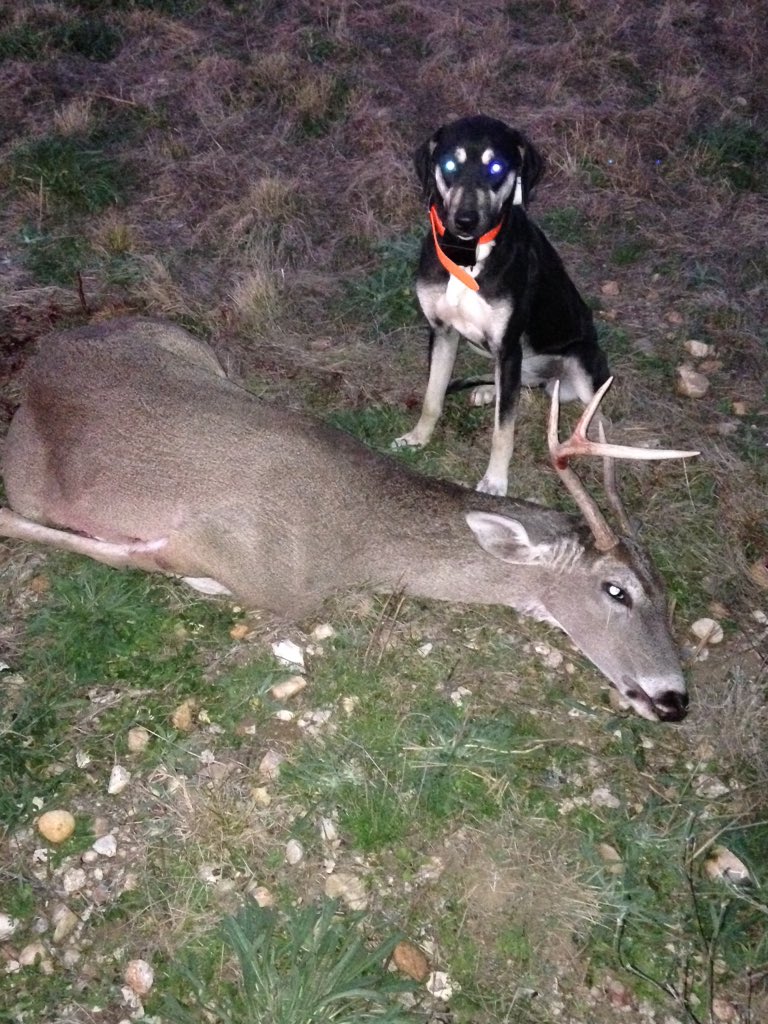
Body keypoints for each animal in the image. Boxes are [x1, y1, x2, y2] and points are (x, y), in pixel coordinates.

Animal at [0, 318, 699, 722]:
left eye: (668, 596)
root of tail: (38, 359)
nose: (674, 699)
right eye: (616, 589)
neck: (347, 541)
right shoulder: (225, 555)